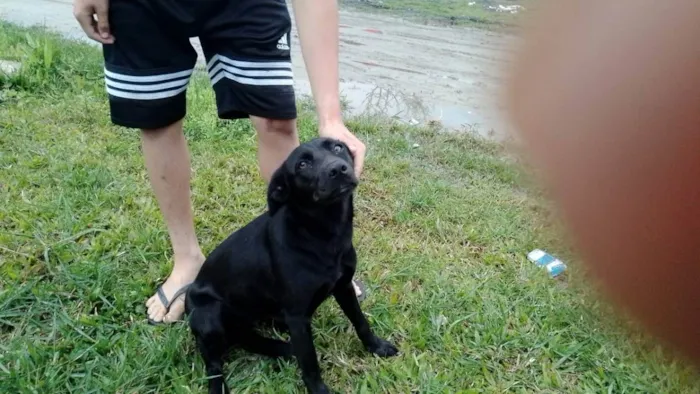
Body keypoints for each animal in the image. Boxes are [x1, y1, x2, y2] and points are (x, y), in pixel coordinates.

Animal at [186, 137, 396, 392]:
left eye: (338, 147)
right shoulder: (297, 316)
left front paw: (376, 347)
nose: (338, 169)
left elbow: (360, 321)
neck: (324, 235)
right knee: (214, 363)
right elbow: (310, 362)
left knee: (248, 338)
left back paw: (282, 346)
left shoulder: (344, 287)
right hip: (209, 316)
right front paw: (319, 390)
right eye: (302, 165)